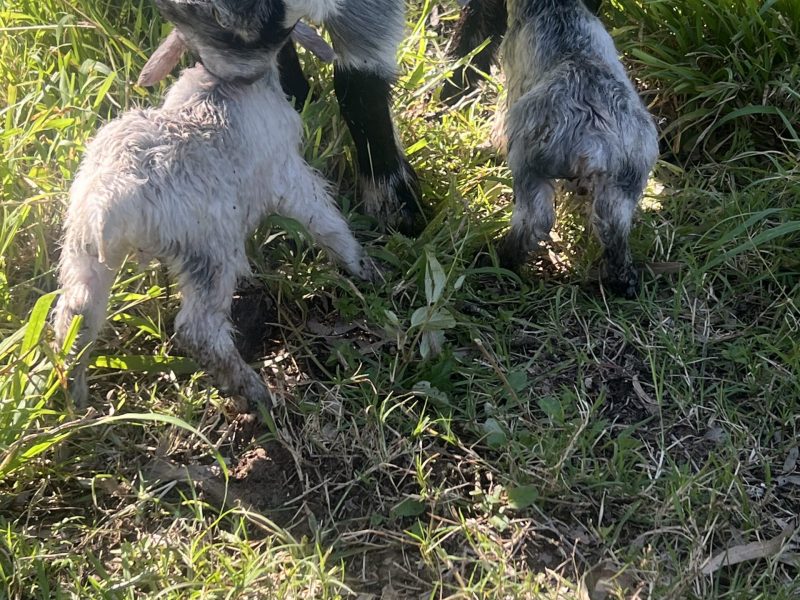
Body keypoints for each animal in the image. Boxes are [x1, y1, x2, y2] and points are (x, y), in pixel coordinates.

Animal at [52, 0, 377, 411]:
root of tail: (111, 201)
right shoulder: (287, 174)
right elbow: (327, 222)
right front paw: (362, 268)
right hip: (210, 250)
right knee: (198, 330)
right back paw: (256, 394)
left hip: (82, 252)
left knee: (75, 318)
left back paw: (78, 401)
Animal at [496, 0, 658, 298]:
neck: (559, 9)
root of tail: (592, 139)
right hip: (627, 177)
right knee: (613, 228)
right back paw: (624, 282)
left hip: (528, 164)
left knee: (533, 221)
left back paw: (501, 260)